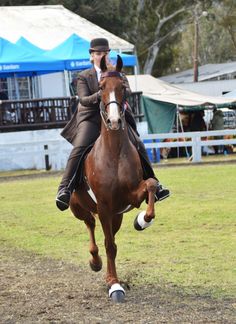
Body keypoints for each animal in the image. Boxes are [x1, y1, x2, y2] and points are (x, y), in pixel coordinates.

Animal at [70, 55, 159, 302]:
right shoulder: (104, 207)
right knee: (90, 226)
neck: (114, 152)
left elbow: (151, 185)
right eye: (100, 88)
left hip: (116, 216)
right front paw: (114, 285)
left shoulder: (128, 199)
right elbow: (108, 245)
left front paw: (142, 221)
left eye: (123, 88)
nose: (114, 121)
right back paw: (95, 262)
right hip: (78, 207)